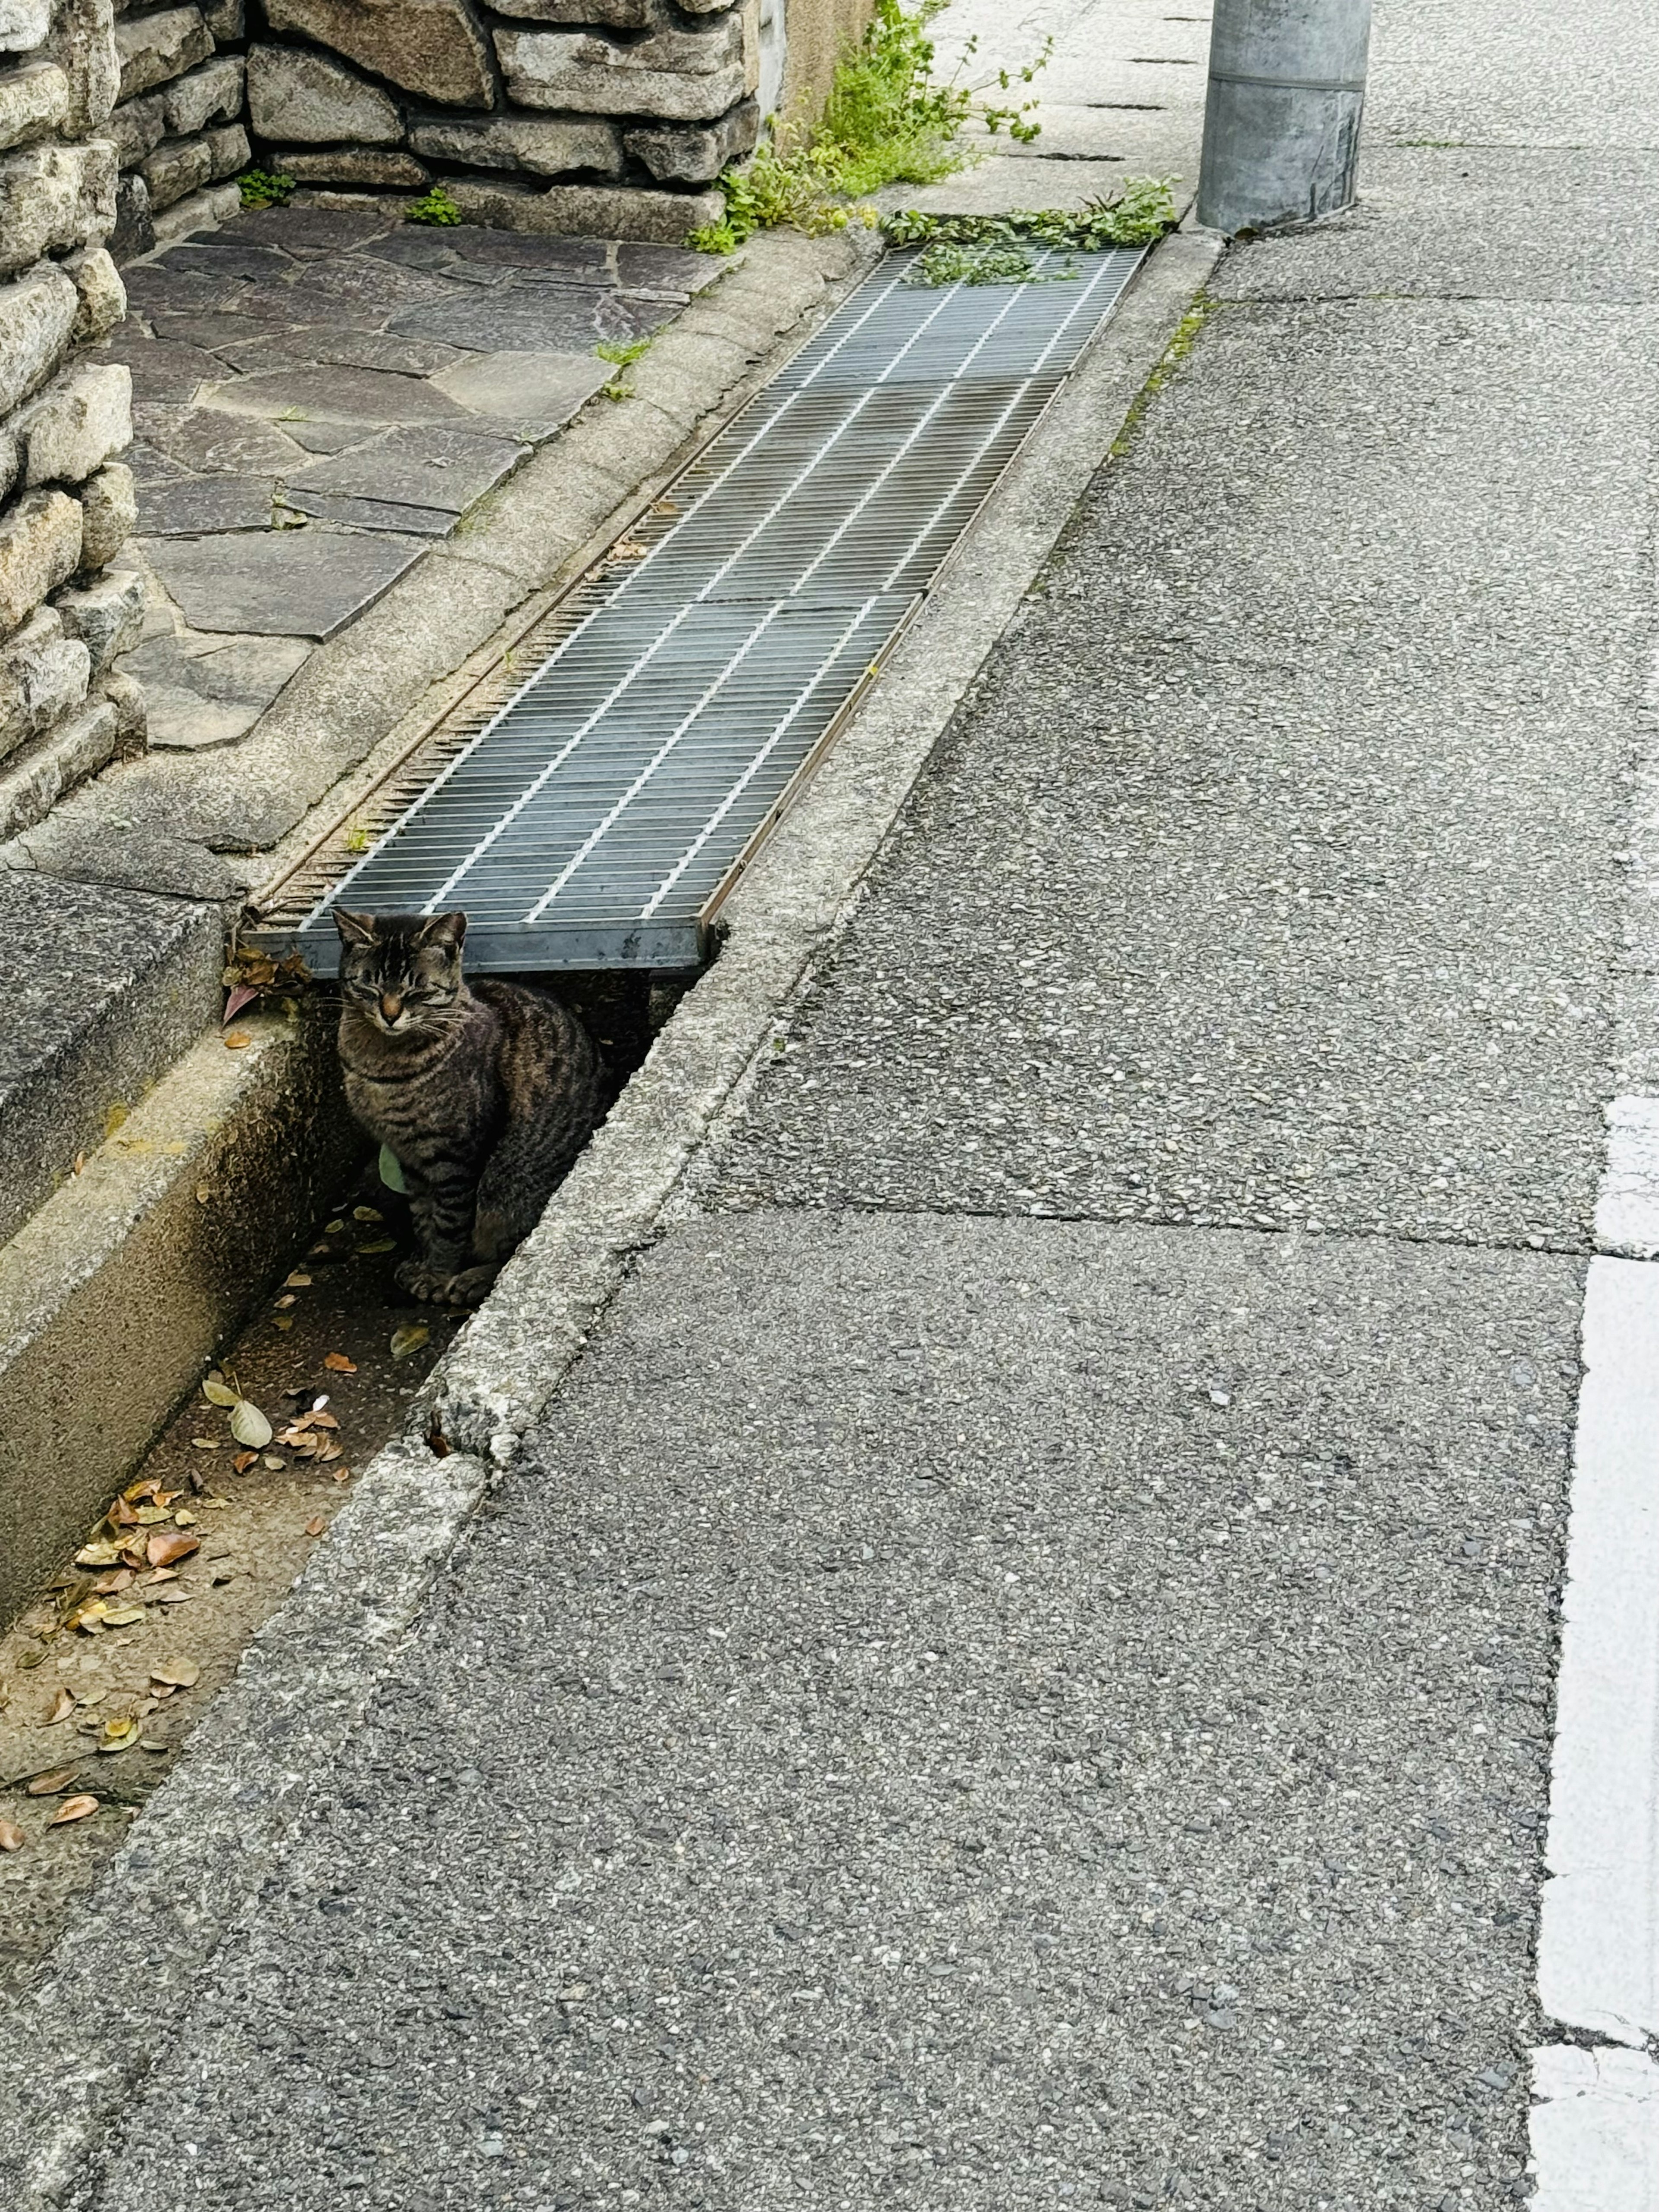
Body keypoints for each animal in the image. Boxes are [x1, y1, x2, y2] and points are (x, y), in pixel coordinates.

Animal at [332, 907, 606, 1300]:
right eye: (370, 987)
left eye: (417, 990)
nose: (390, 1015)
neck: (381, 1066)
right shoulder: (409, 1158)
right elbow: (423, 1216)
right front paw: (423, 1261)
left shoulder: (456, 1156)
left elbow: (450, 1224)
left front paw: (439, 1274)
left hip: (505, 1187)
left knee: (516, 1249)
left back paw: (473, 1279)